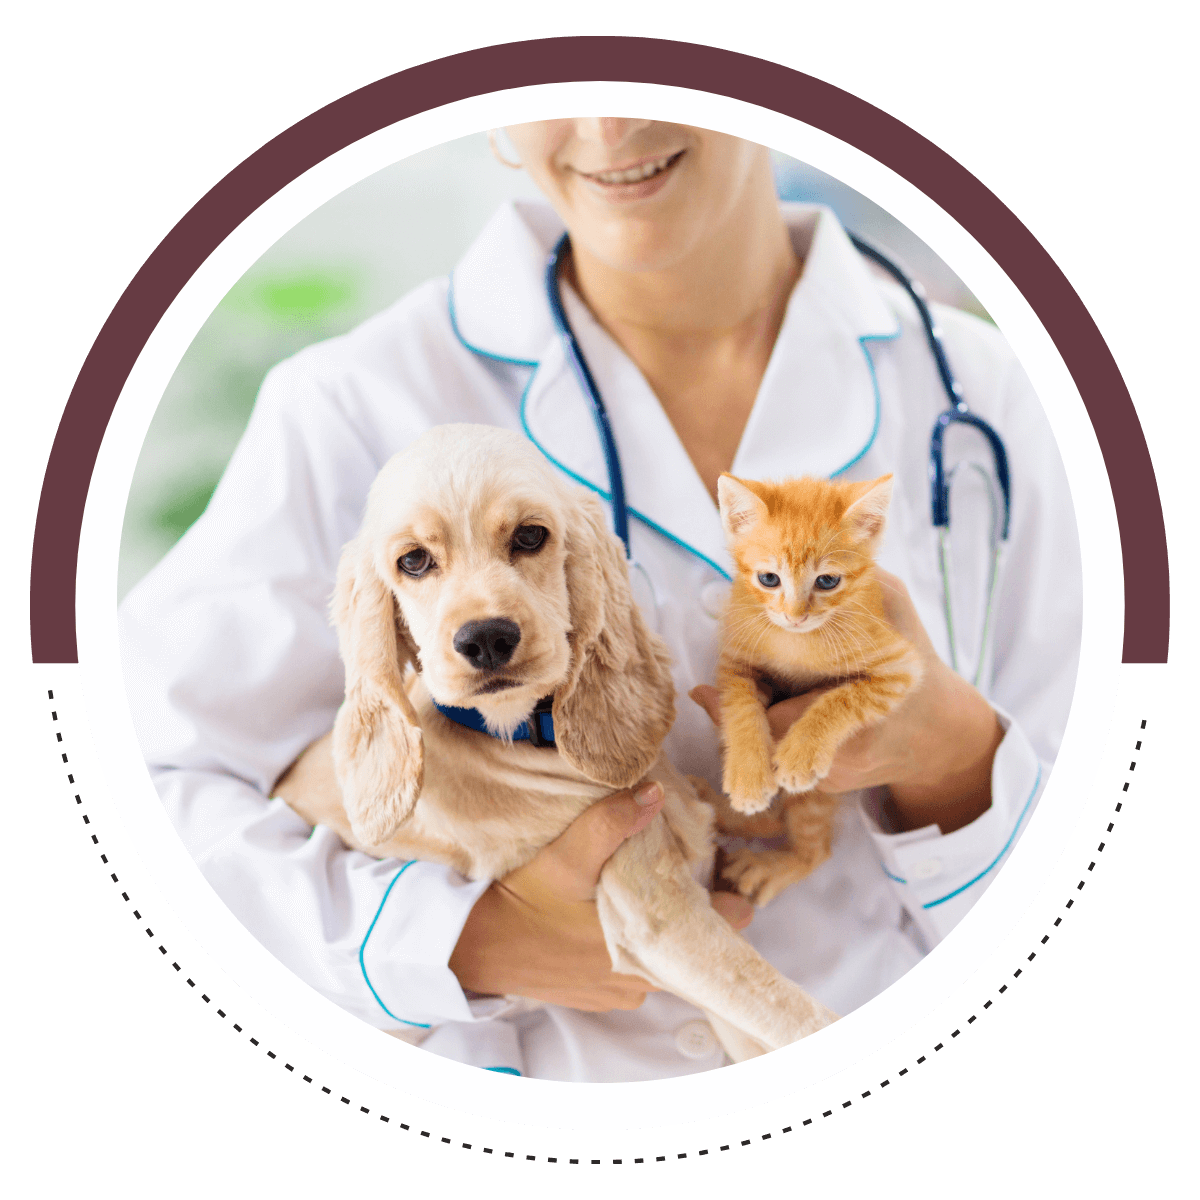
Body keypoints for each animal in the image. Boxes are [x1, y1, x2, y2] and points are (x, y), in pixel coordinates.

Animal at [273, 427, 840, 1065]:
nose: (486, 639)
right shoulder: (656, 918)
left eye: (529, 536)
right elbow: (797, 1016)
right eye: (413, 561)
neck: (528, 737)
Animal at [715, 472, 921, 902]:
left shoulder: (900, 666)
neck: (797, 642)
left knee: (815, 849)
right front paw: (748, 774)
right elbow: (740, 707)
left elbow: (843, 699)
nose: (795, 616)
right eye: (768, 578)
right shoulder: (734, 661)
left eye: (827, 581)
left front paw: (801, 753)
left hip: (817, 799)